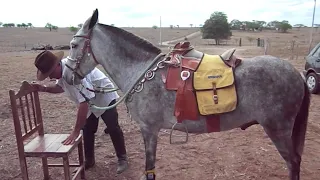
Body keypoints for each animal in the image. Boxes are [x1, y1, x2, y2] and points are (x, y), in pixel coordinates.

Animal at [61, 8, 308, 180]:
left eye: (73, 45)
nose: (65, 76)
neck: (141, 71)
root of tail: (298, 74)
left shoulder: (149, 130)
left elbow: (150, 168)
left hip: (277, 129)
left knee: (293, 162)